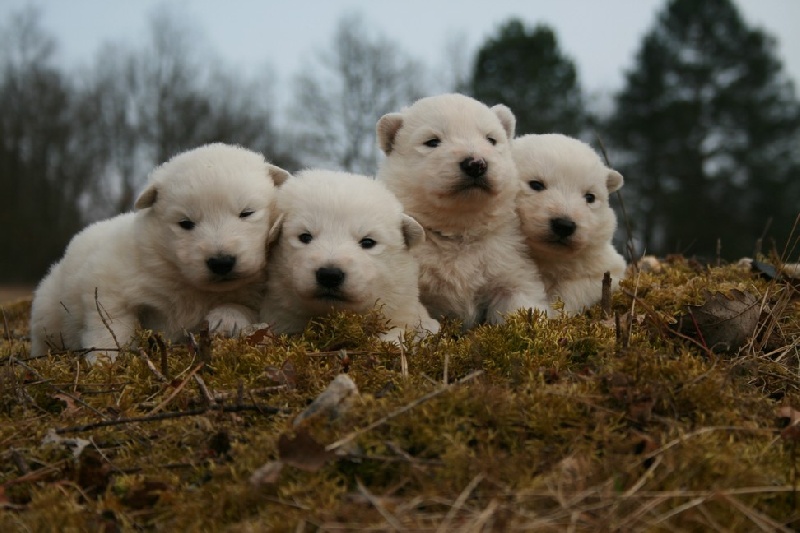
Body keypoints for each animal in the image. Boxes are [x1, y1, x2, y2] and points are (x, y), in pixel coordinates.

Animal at [31, 143, 290, 360]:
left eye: (246, 213)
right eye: (185, 223)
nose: (221, 262)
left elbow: (248, 308)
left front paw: (227, 318)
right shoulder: (112, 278)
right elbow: (111, 319)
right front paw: (105, 360)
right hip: (47, 311)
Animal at [376, 93, 552, 326]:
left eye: (491, 139)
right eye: (432, 141)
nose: (476, 163)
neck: (458, 229)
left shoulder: (505, 256)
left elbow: (519, 295)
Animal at [512, 133, 624, 314]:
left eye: (590, 197)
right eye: (536, 184)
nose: (564, 225)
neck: (548, 257)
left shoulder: (600, 262)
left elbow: (586, 284)